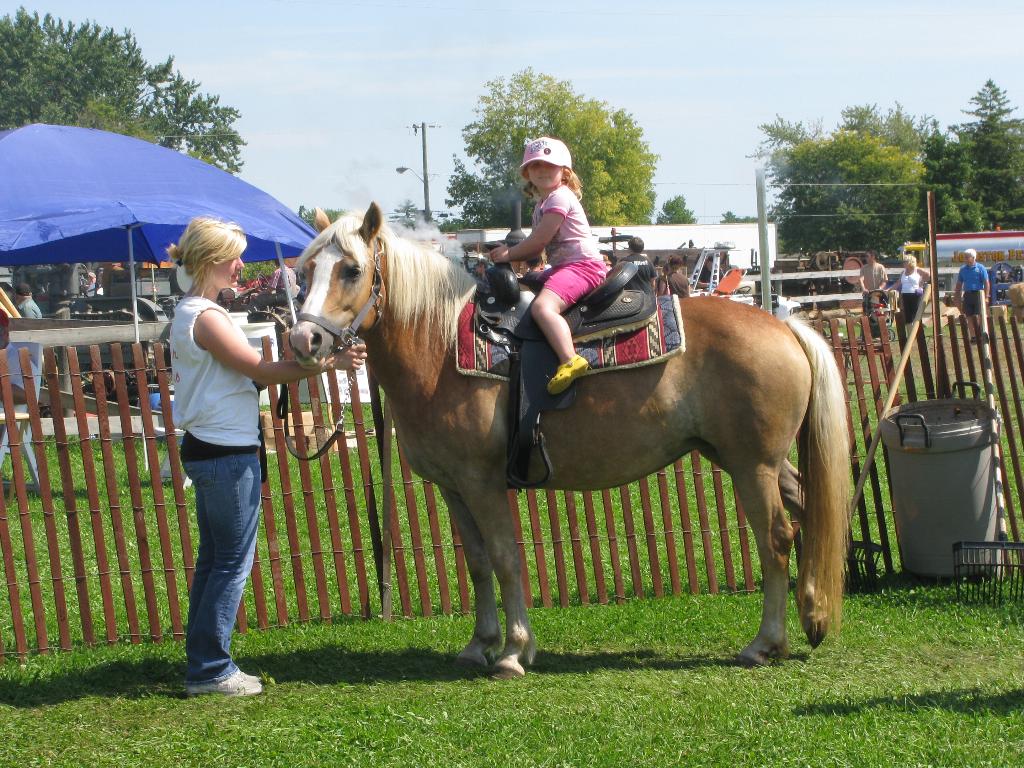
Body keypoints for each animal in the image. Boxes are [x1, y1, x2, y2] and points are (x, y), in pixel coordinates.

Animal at [289, 203, 850, 678]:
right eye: (305, 271)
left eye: (351, 270)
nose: (303, 340)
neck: (440, 347)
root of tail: (783, 325)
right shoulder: (453, 488)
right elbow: (477, 562)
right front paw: (479, 644)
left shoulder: (482, 482)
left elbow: (504, 557)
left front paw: (514, 651)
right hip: (758, 462)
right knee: (810, 515)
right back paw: (814, 617)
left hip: (752, 465)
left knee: (777, 539)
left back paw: (765, 642)